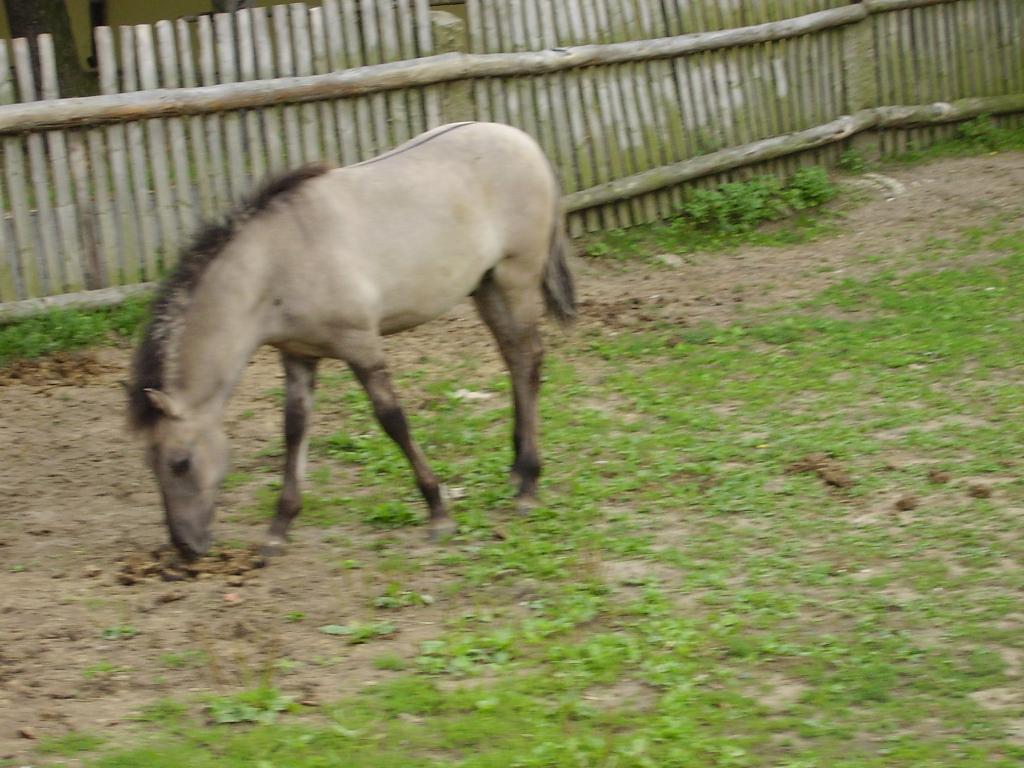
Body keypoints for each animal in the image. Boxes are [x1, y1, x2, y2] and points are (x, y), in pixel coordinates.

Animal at [126, 121, 576, 560]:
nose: (185, 548)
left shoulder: (361, 345)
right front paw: (278, 529)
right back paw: (517, 470)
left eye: (180, 462)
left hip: (516, 280)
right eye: (150, 464)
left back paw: (529, 484)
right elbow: (294, 430)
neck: (277, 261)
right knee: (514, 358)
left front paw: (438, 511)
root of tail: (525, 142)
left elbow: (392, 419)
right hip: (486, 287)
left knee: (529, 360)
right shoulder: (297, 356)